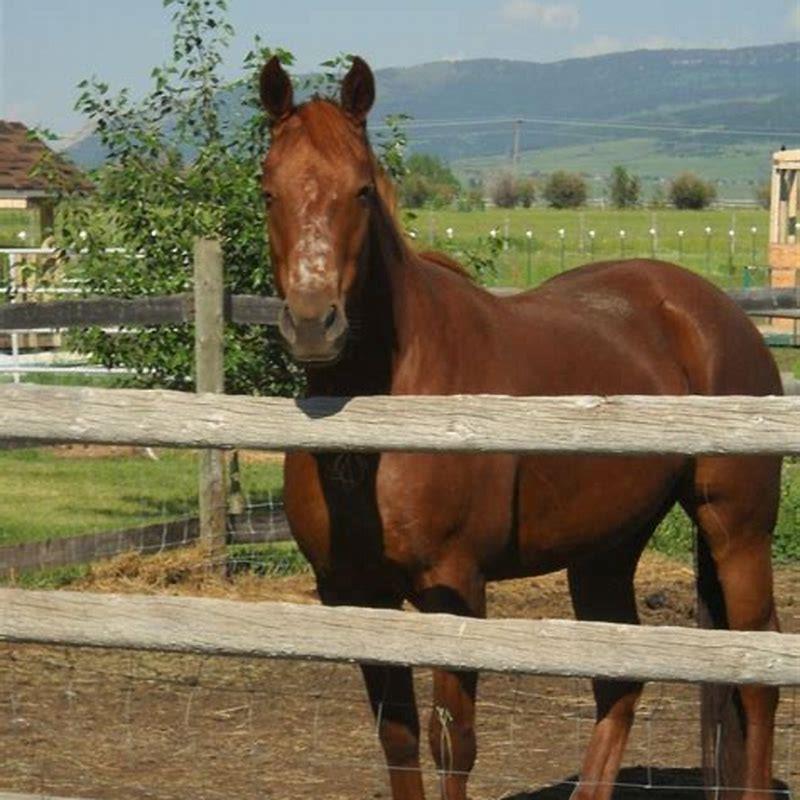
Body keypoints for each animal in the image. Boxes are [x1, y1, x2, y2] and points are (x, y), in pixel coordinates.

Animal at [258, 56, 782, 800]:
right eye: (267, 189)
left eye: (361, 190)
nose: (312, 323)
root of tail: (718, 313)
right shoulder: (354, 595)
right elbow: (398, 740)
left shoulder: (454, 588)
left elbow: (453, 744)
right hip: (604, 549)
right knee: (620, 680)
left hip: (737, 529)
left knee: (758, 676)